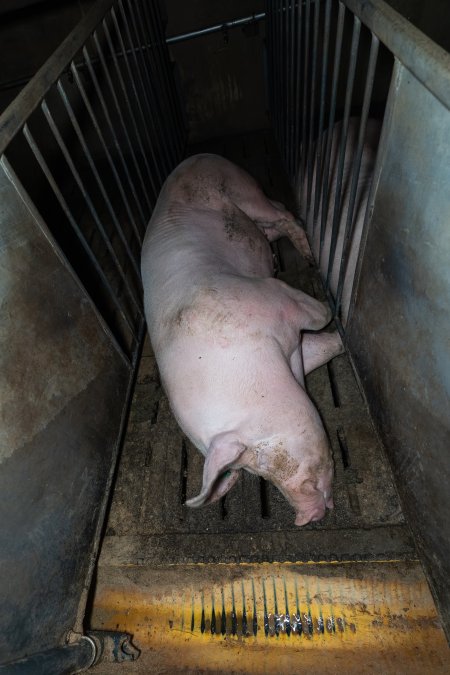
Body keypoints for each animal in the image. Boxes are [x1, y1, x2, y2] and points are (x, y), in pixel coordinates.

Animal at [141, 154, 344, 526]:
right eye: (254, 472)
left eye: (266, 454)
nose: (305, 517)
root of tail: (198, 156)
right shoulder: (292, 347)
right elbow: (322, 347)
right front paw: (338, 340)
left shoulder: (274, 297)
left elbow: (318, 316)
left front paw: (334, 312)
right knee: (274, 222)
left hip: (243, 189)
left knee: (283, 214)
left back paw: (309, 256)